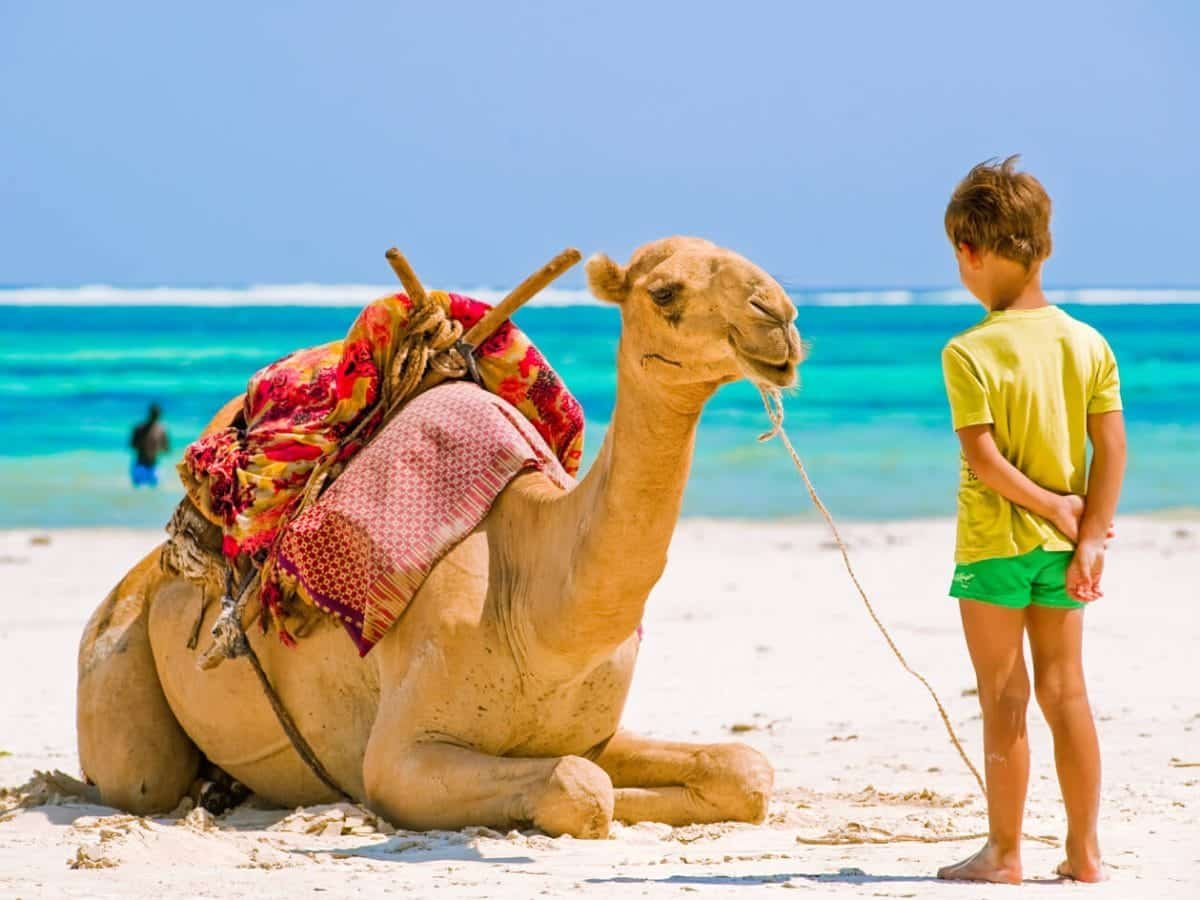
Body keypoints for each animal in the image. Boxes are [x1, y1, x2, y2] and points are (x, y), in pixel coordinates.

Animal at [76, 236, 804, 838]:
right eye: (666, 291)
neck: (538, 605)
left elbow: (742, 769)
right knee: (138, 779)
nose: (781, 318)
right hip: (117, 663)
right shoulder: (401, 758)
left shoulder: (595, 731)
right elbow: (582, 786)